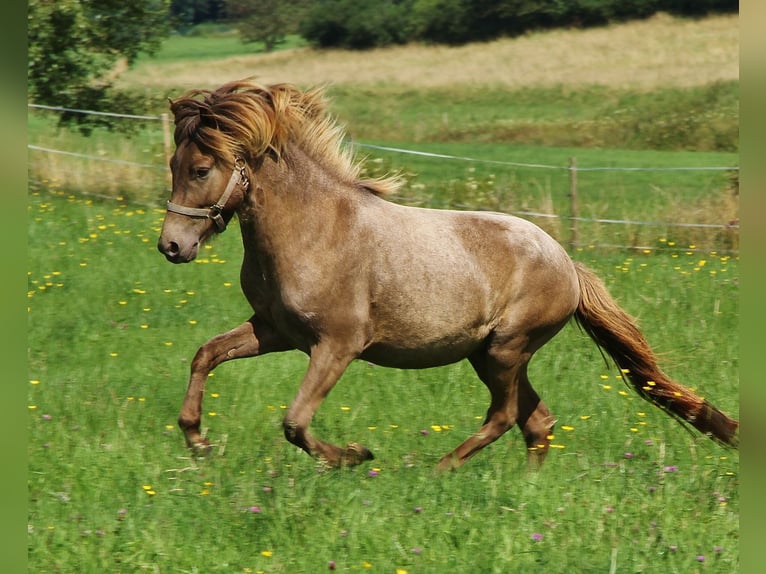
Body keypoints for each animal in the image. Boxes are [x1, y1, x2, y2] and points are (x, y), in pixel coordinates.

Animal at [159, 81, 740, 472]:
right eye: (172, 164)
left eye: (201, 169)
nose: (172, 246)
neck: (315, 230)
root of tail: (566, 263)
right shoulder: (274, 331)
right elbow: (204, 355)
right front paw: (198, 442)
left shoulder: (337, 345)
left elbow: (295, 421)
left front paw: (356, 455)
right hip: (490, 355)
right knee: (537, 421)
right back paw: (524, 489)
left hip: (506, 350)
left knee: (506, 416)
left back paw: (442, 468)